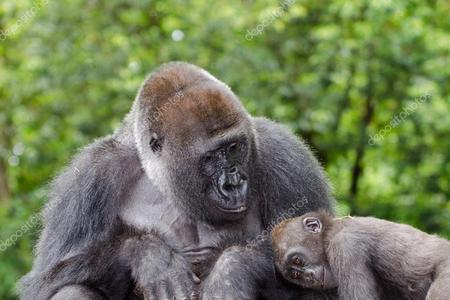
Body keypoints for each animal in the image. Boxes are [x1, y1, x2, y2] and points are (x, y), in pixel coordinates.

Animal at [19, 62, 334, 298]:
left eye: (234, 147)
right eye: (211, 158)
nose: (233, 183)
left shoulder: (282, 154)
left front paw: (233, 269)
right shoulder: (91, 175)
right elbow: (45, 280)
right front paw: (150, 257)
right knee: (71, 290)